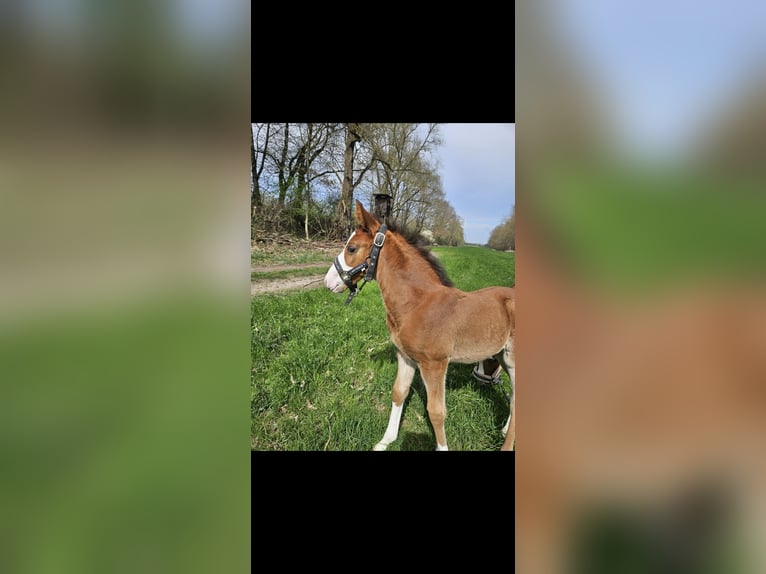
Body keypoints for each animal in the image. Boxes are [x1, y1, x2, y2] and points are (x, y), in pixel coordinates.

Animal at [324, 200, 515, 451]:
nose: (328, 282)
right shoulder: (405, 357)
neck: (416, 303)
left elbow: (436, 412)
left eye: (352, 248)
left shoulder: (434, 364)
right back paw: (503, 430)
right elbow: (399, 393)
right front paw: (385, 441)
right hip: (501, 356)